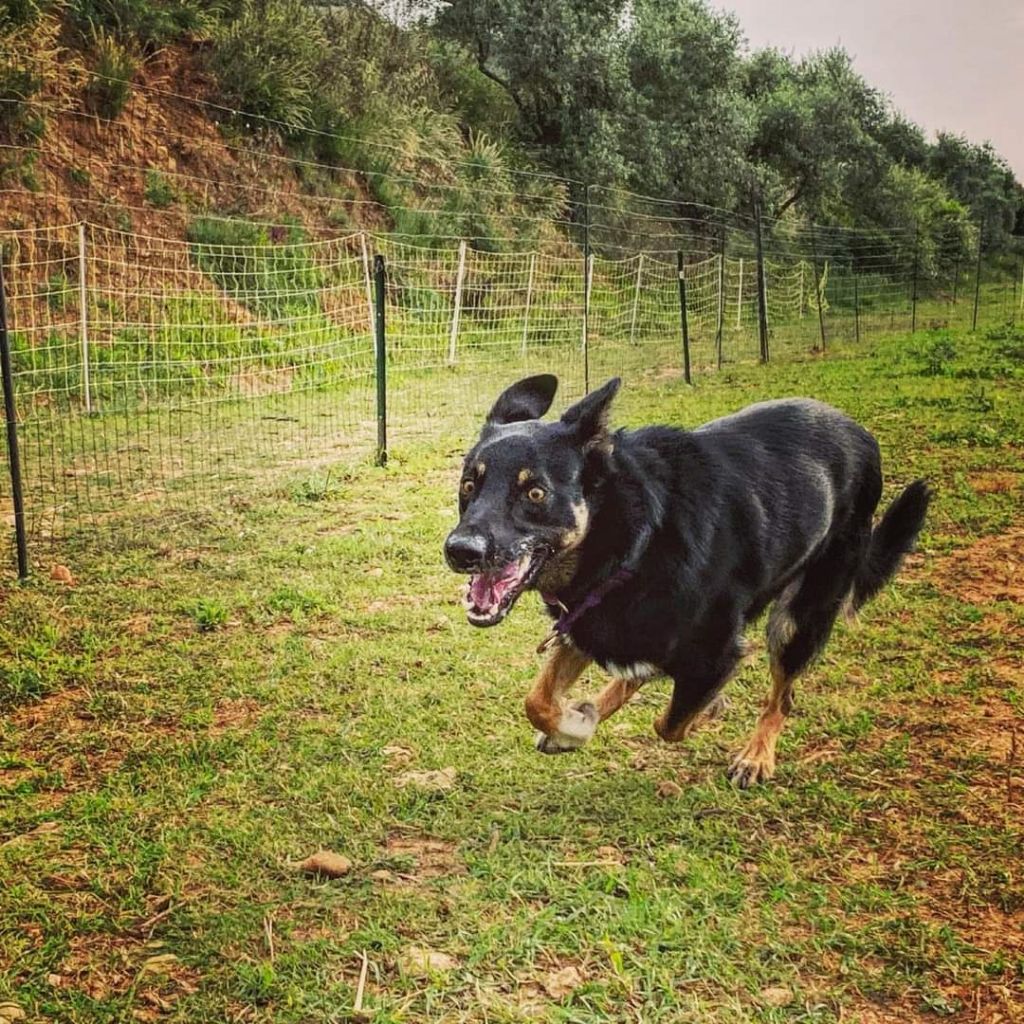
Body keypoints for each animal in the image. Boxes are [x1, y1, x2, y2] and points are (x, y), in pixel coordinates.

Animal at [442, 376, 929, 782]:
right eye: (469, 485)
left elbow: (671, 721)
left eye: (535, 492)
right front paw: (575, 723)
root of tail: (861, 434)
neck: (632, 537)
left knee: (782, 698)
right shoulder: (586, 622)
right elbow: (538, 701)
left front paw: (705, 709)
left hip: (799, 619)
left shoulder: (716, 652)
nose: (460, 551)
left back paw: (756, 755)